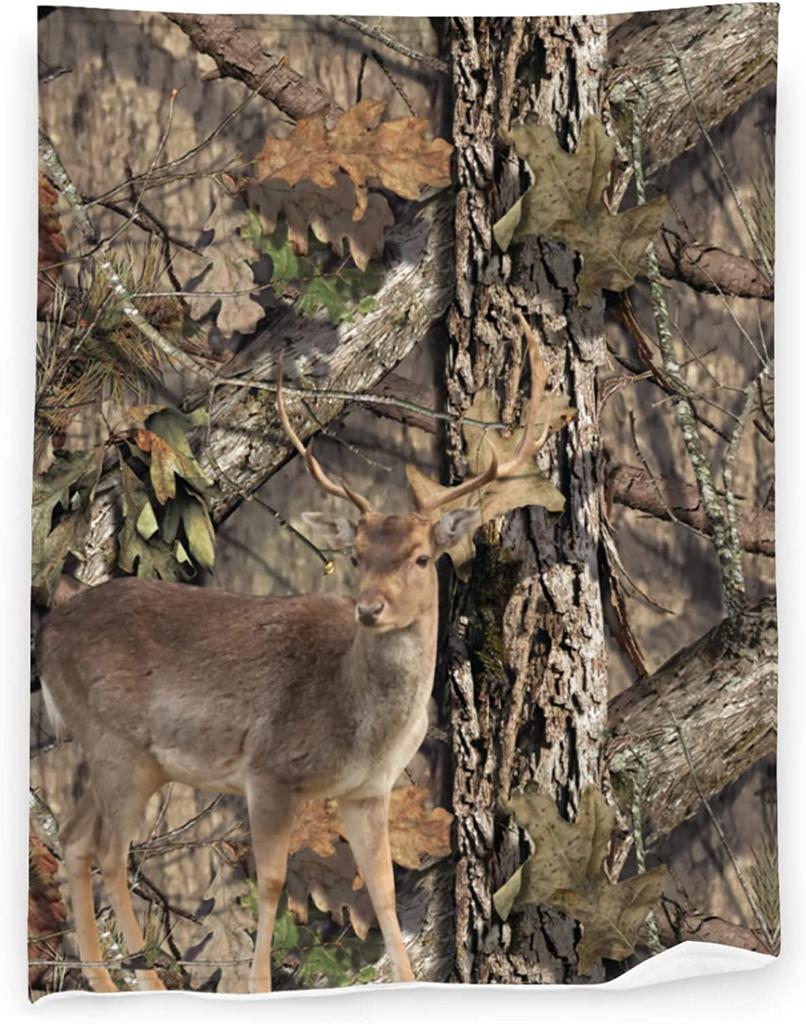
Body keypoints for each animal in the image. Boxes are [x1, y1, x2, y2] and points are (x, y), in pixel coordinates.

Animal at [35, 313, 549, 994]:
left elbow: (384, 891)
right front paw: (258, 986)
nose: (369, 608)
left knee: (74, 838)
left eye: (420, 557)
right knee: (111, 854)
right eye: (356, 554)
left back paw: (104, 984)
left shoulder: (368, 790)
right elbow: (273, 881)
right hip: (116, 741)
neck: (359, 723)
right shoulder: (269, 769)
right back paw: (147, 985)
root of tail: (49, 633)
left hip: (129, 757)